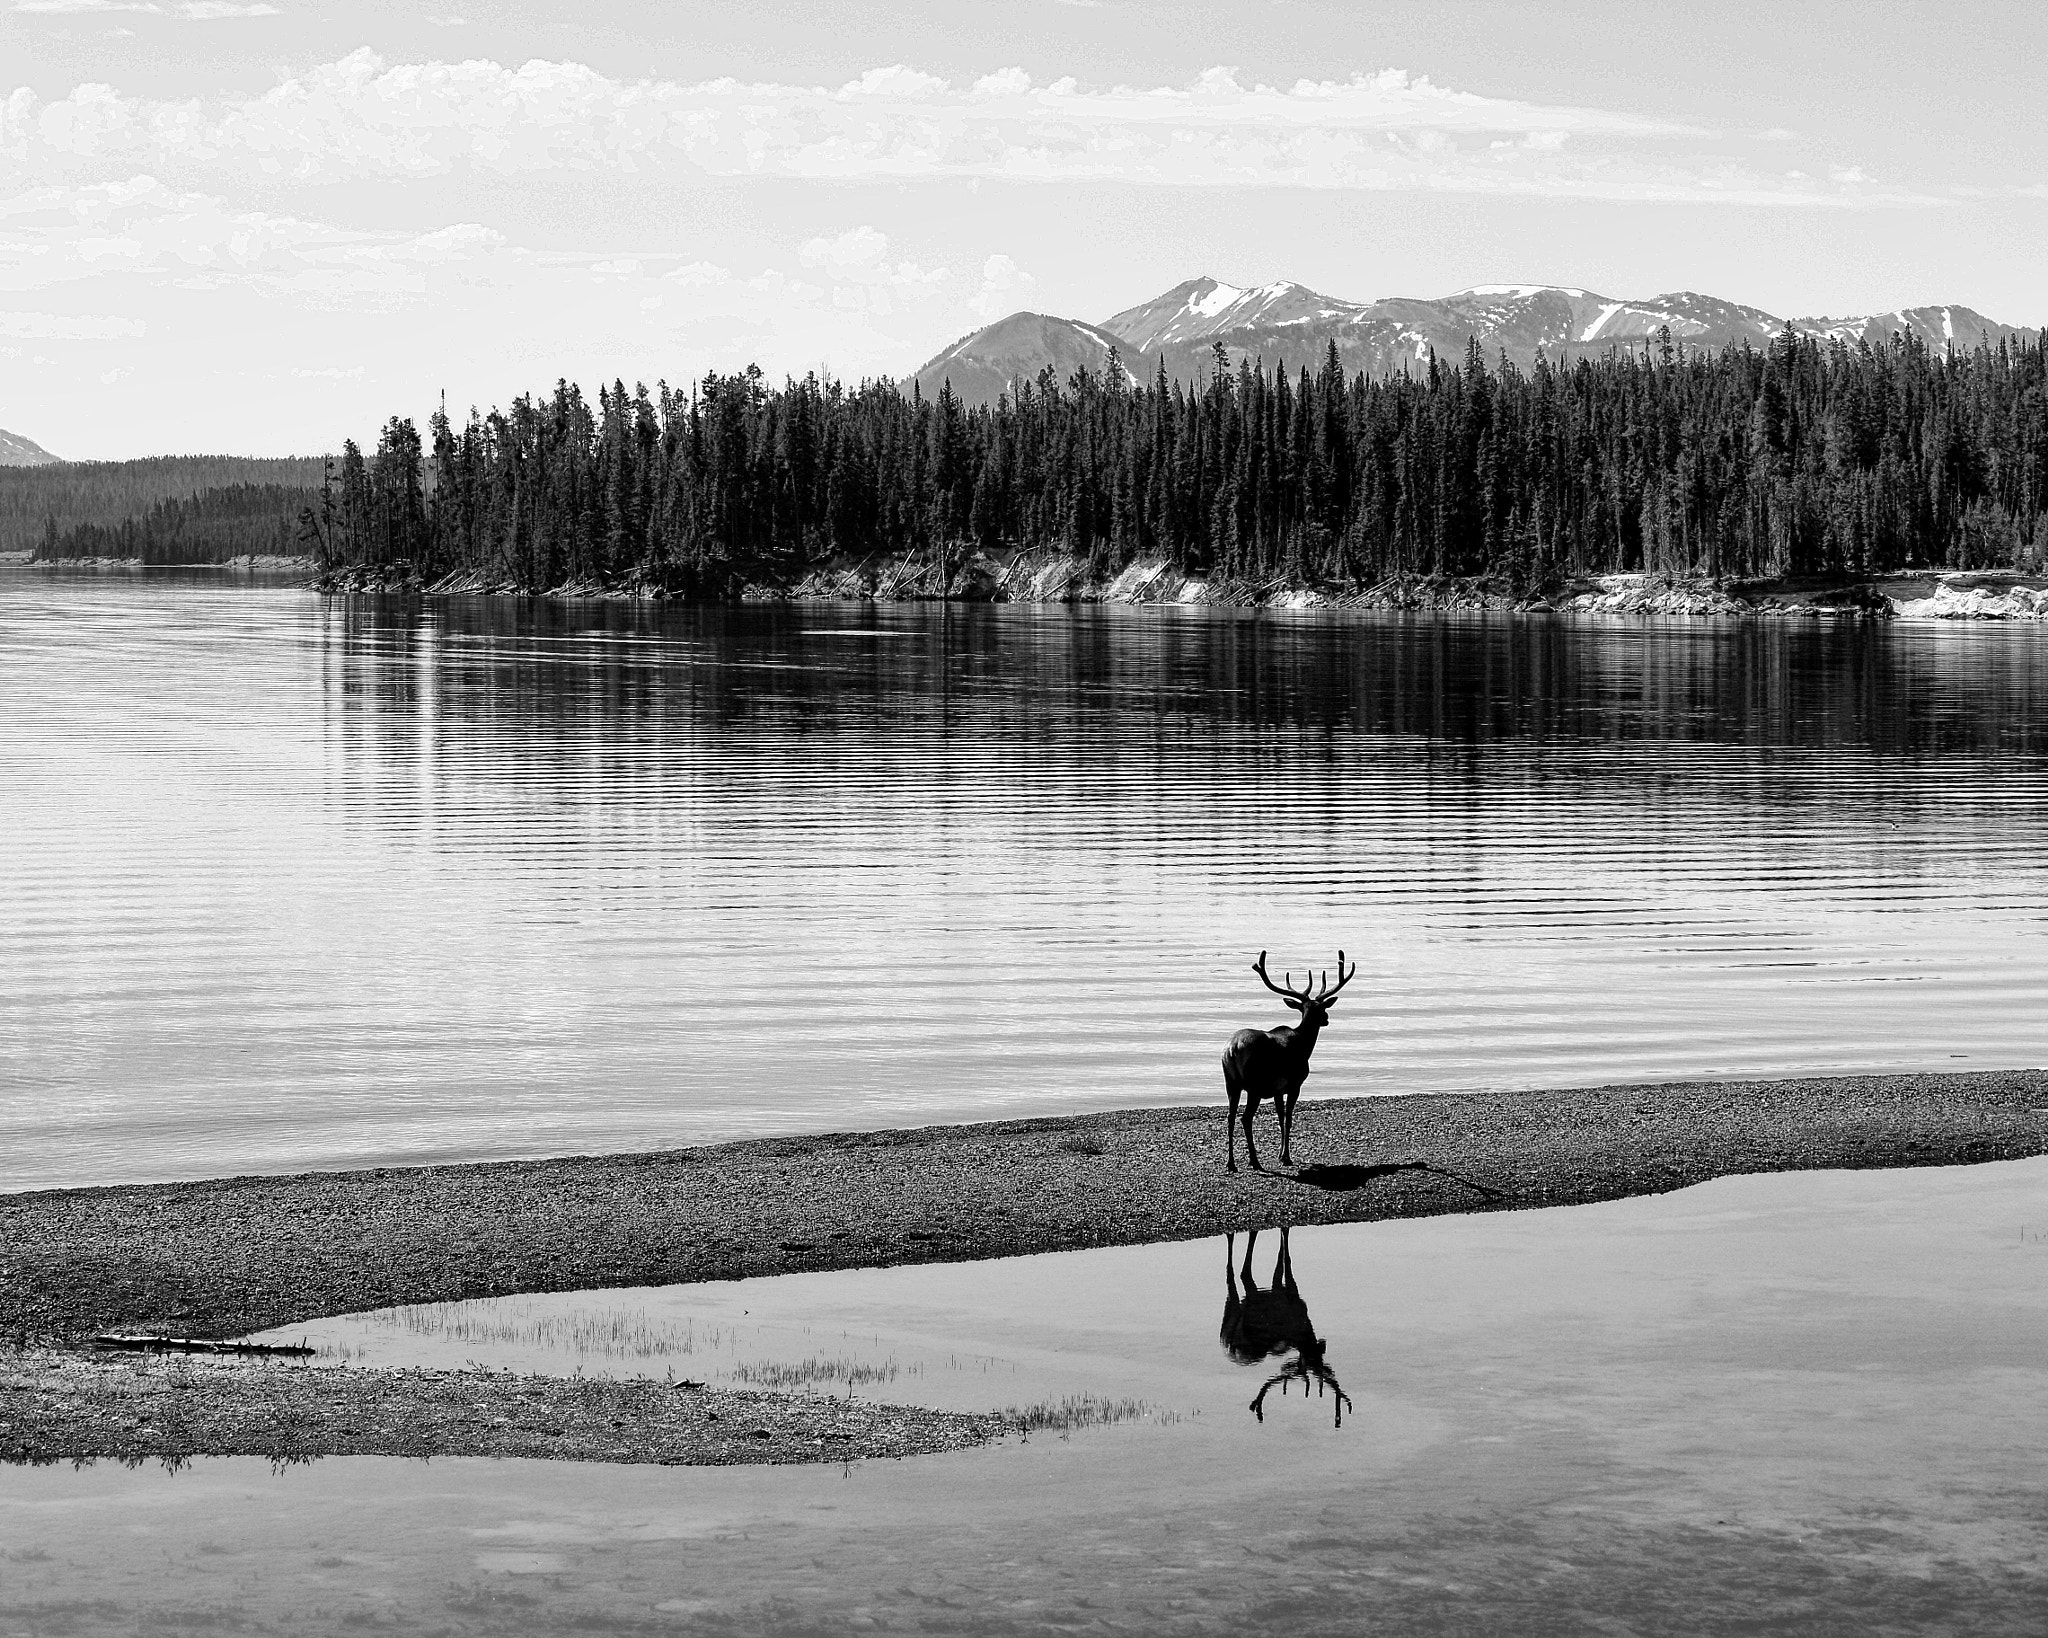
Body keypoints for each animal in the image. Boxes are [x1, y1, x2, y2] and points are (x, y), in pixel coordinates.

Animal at [1219, 1228, 1352, 1426]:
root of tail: (1233, 1350)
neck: (1304, 1333)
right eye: (1314, 1356)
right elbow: (1285, 1259)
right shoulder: (1293, 1298)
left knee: (1234, 1242)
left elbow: (1279, 1258)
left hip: (1228, 1318)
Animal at [1222, 949, 1355, 1173]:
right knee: (1245, 1118)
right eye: (1321, 1009)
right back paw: (1254, 1161)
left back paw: (1231, 1163)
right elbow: (1289, 1118)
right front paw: (1286, 1157)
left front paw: (1280, 1154)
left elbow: (1280, 1116)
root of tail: (1232, 1049)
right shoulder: (1295, 1084)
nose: (1327, 1018)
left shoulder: (1277, 1089)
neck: (1305, 1044)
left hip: (1231, 1082)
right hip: (1254, 1085)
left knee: (1231, 1116)